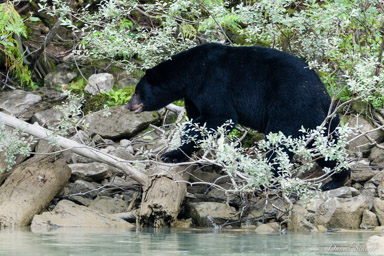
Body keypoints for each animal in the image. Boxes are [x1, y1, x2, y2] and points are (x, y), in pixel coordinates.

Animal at [127, 43, 352, 190]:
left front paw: (172, 153)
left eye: (138, 91)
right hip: (320, 120)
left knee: (278, 144)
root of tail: (324, 95)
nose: (129, 105)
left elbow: (221, 117)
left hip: (292, 108)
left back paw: (267, 178)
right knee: (326, 147)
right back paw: (337, 179)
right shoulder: (192, 96)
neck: (190, 73)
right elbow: (198, 117)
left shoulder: (212, 83)